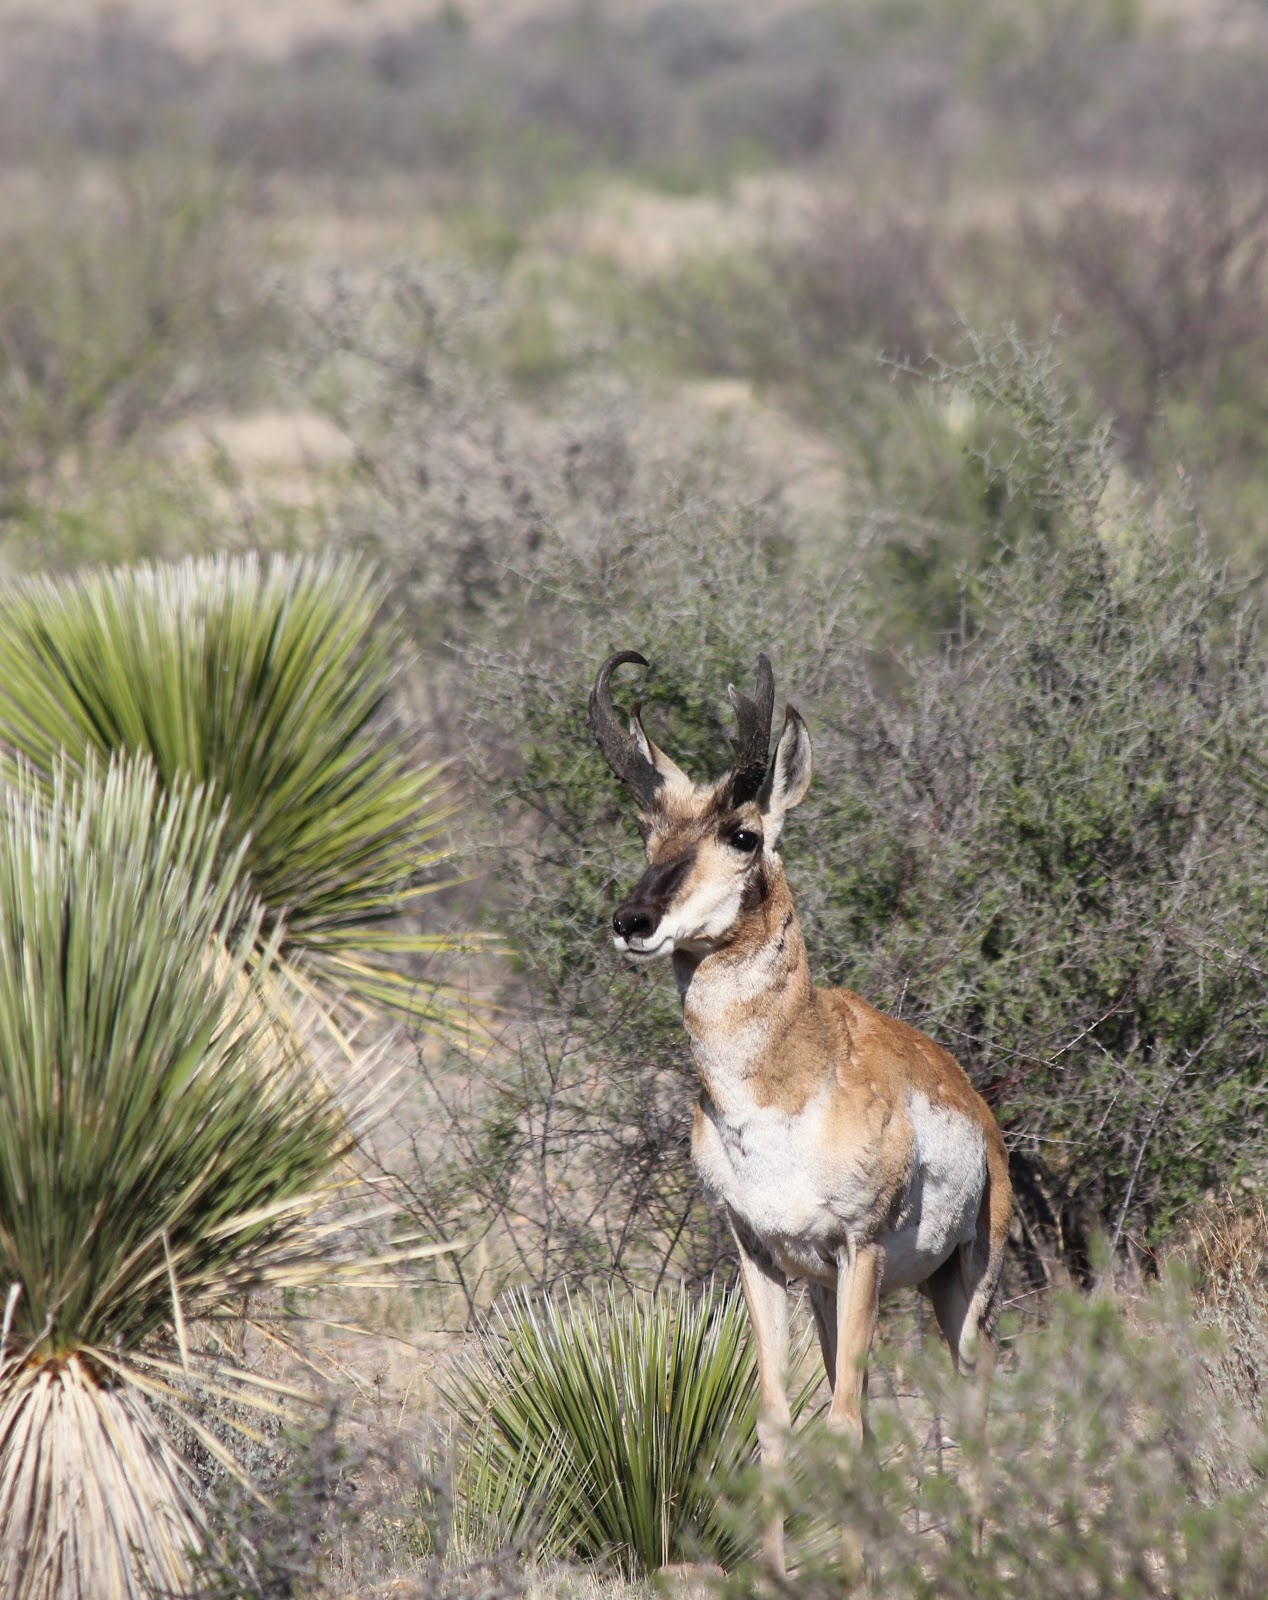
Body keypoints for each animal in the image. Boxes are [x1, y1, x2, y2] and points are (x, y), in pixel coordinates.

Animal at [589, 650, 1012, 1569]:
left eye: (743, 834)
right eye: (647, 830)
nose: (632, 921)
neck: (788, 1086)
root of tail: (971, 1095)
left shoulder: (859, 1247)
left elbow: (846, 1422)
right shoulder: (759, 1254)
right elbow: (779, 1420)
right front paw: (778, 1569)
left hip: (964, 1284)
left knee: (973, 1399)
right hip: (835, 1293)